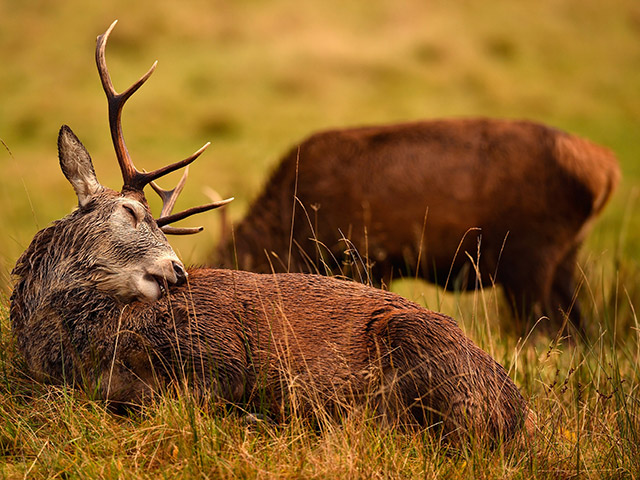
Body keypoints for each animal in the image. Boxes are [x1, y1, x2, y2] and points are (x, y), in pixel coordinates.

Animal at [215, 119, 620, 334]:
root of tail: (606, 169)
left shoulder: (368, 259)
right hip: (566, 257)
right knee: (577, 327)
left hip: (530, 260)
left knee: (544, 329)